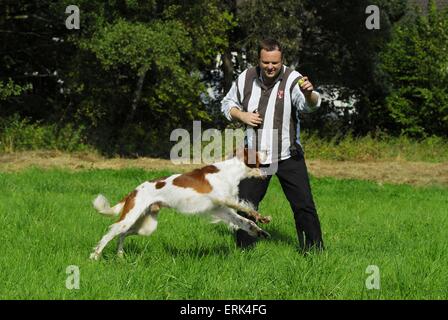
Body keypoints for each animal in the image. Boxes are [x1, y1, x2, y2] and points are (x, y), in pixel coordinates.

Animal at [89, 148, 272, 260]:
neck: (230, 172)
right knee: (109, 234)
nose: (268, 150)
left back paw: (120, 255)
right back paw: (95, 257)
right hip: (130, 217)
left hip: (146, 226)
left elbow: (245, 221)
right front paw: (261, 219)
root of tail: (133, 191)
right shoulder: (220, 199)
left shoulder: (221, 209)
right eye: (257, 151)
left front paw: (259, 229)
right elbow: (245, 206)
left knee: (122, 234)